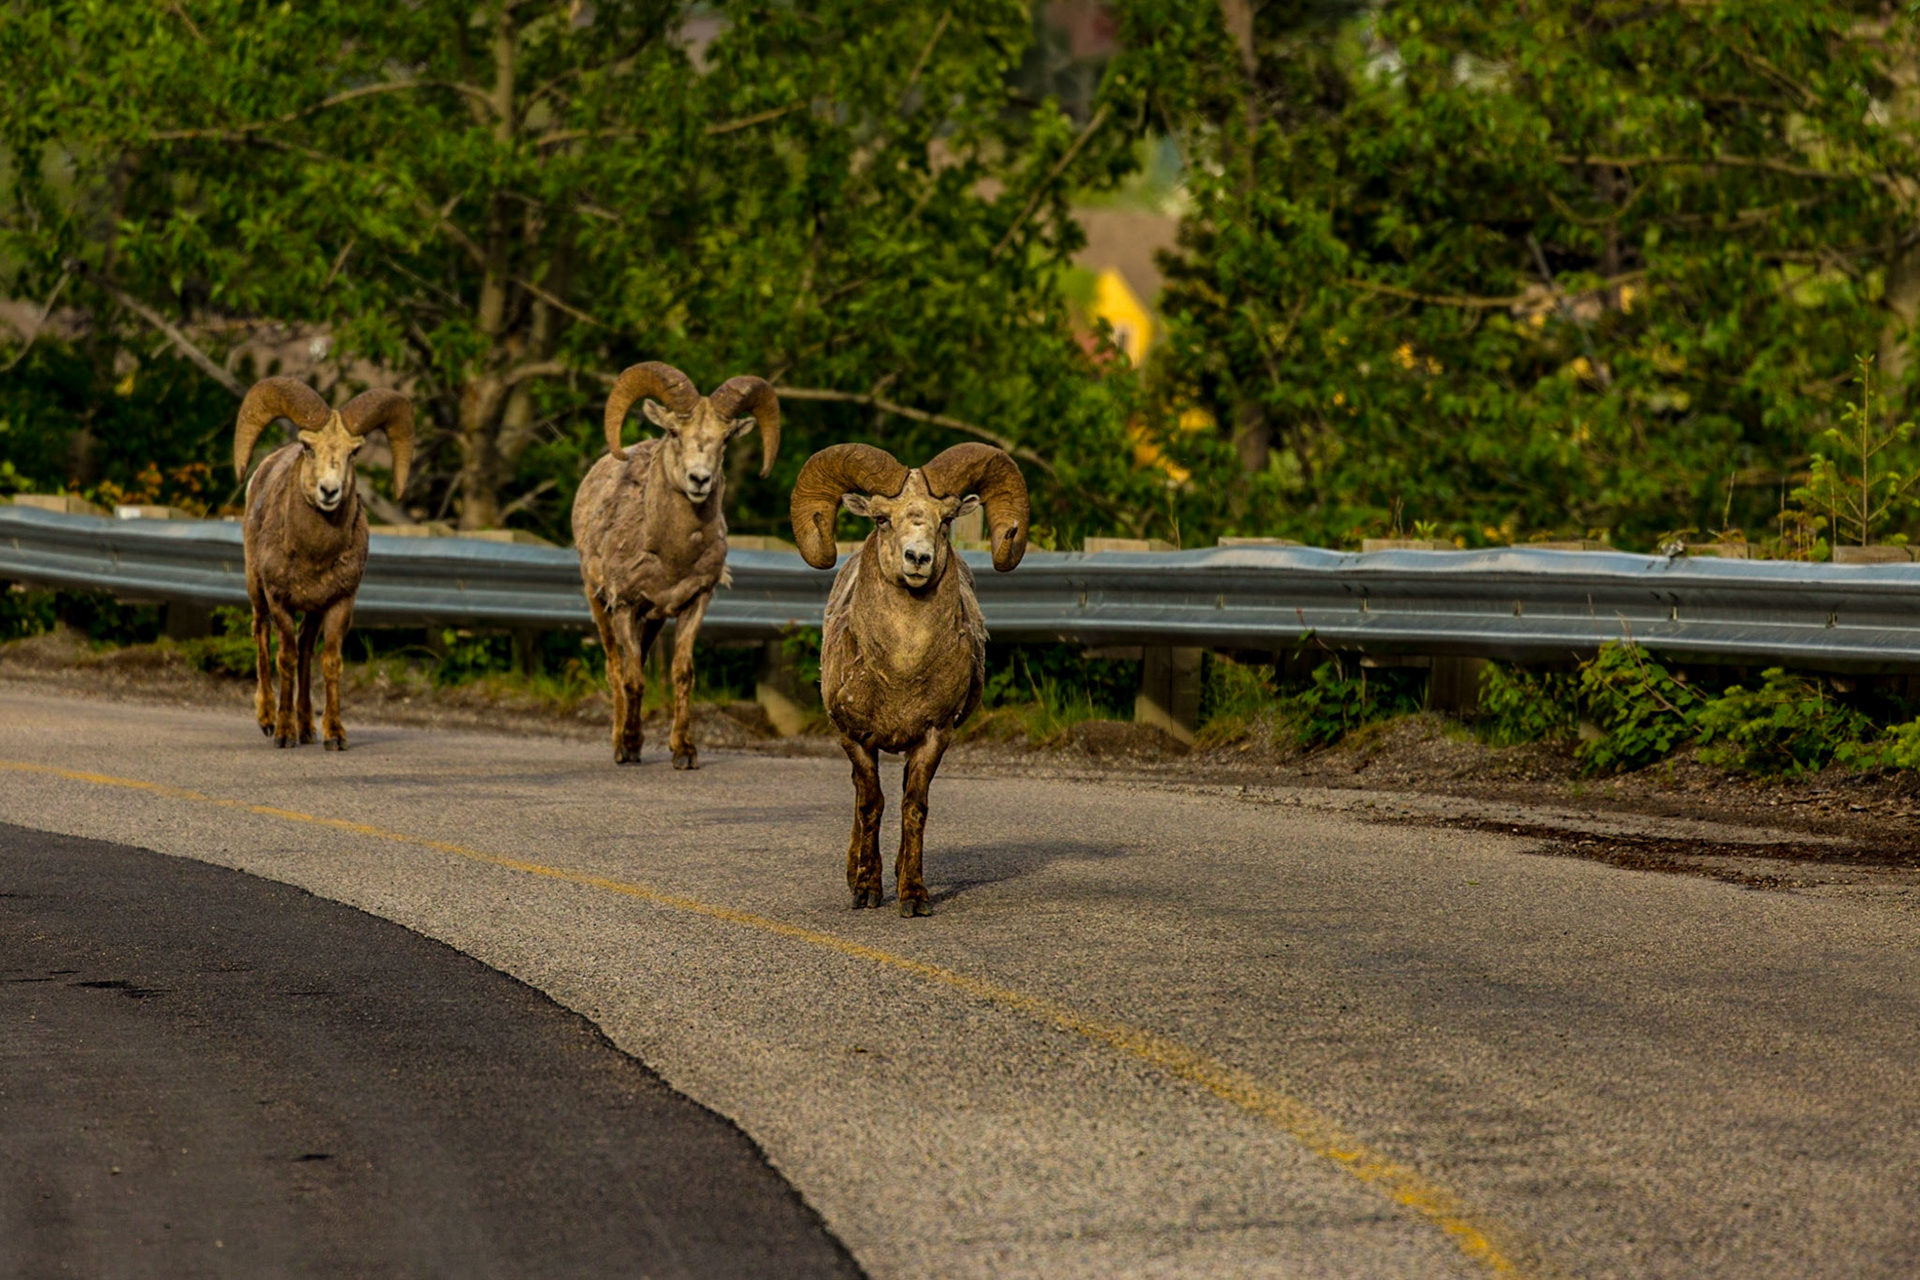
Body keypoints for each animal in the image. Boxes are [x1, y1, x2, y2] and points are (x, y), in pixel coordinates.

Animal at [232, 376, 414, 751]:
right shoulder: (280, 600)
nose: (329, 491)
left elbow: (329, 662)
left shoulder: (339, 603)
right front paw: (283, 733)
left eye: (353, 452)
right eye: (308, 447)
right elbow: (284, 658)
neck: (314, 555)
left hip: (313, 611)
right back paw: (268, 720)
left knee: (305, 649)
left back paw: (307, 728)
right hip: (256, 591)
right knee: (262, 635)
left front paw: (335, 735)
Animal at [572, 361, 780, 769]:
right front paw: (630, 746)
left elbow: (682, 673)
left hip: (652, 620)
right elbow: (633, 679)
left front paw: (684, 752)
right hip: (599, 603)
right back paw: (620, 743)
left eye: (726, 439)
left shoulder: (693, 602)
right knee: (615, 668)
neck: (671, 558)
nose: (699, 480)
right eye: (673, 432)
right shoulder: (624, 605)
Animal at [788, 441, 1028, 915]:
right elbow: (870, 805)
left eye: (947, 519)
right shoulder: (855, 738)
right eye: (881, 518)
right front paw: (865, 890)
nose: (918, 558)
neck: (901, 668)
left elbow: (913, 806)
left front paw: (913, 895)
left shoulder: (934, 736)